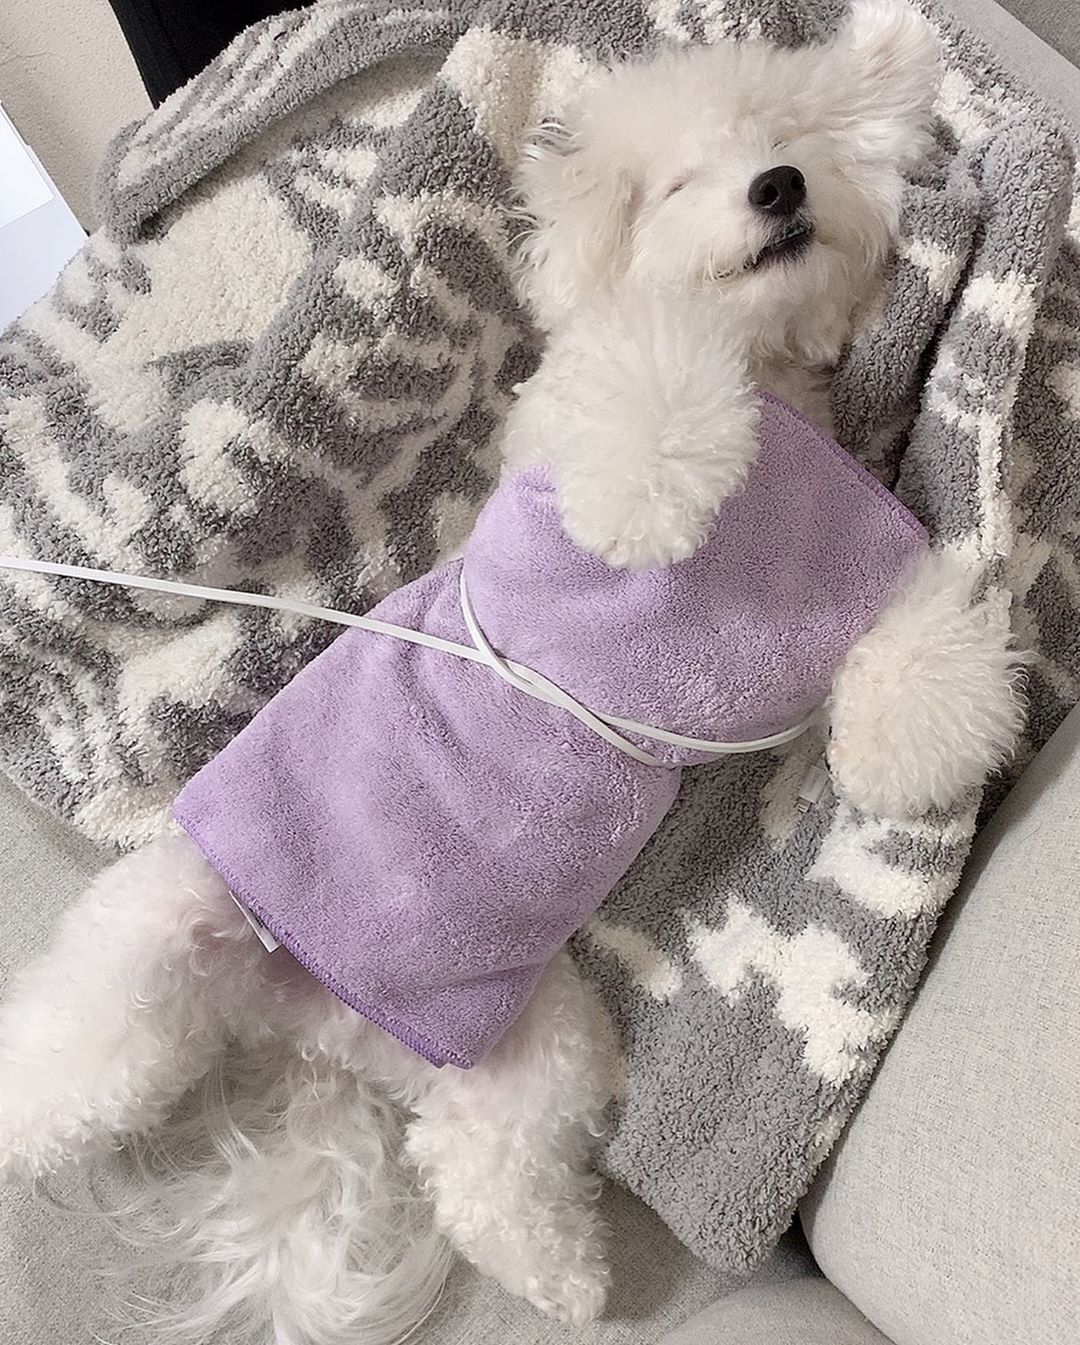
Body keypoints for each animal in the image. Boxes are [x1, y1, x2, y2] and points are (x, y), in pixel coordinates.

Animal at [0, 5, 1022, 1343]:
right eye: (674, 183)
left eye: (789, 140)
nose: (779, 188)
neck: (764, 383)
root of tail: (323, 1024)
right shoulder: (591, 433)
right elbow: (649, 408)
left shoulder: (858, 574)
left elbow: (914, 642)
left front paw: (911, 749)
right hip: (152, 947)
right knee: (61, 1062)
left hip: (532, 1051)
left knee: (480, 1171)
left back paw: (563, 1277)